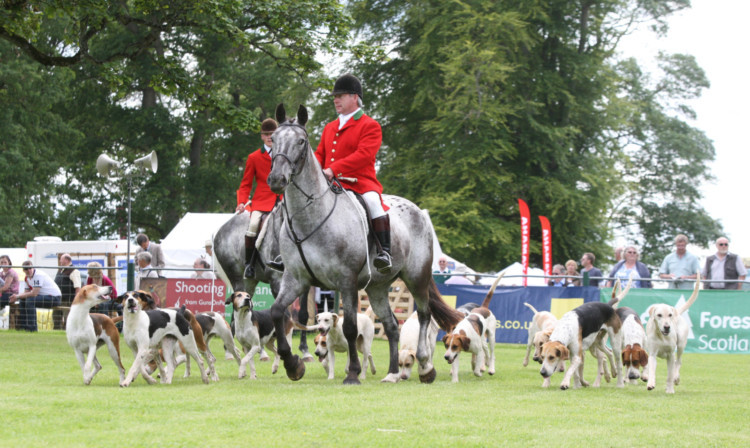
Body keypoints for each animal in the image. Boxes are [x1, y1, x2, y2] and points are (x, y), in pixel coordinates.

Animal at [214, 206, 314, 360]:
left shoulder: (303, 283)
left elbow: (303, 314)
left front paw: (305, 350)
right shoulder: (276, 282)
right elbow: (282, 313)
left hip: (250, 283)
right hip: (238, 279)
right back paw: (232, 351)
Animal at [264, 103, 464, 384]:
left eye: (301, 141)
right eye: (273, 139)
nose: (276, 179)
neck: (311, 217)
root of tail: (419, 211)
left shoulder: (346, 281)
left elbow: (349, 327)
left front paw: (353, 372)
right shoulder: (295, 279)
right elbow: (277, 312)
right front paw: (293, 364)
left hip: (416, 278)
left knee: (424, 315)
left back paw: (425, 366)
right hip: (378, 288)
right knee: (391, 325)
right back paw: (392, 372)